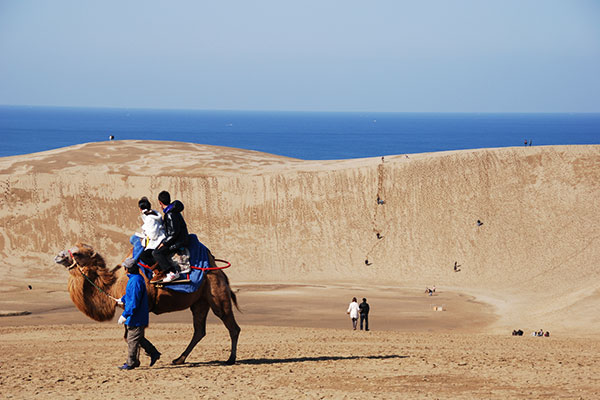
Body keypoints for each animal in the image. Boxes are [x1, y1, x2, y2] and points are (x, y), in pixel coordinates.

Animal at [54, 242, 240, 364]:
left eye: (77, 253)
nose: (58, 256)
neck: (113, 285)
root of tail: (220, 272)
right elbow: (131, 335)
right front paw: (144, 357)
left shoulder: (137, 306)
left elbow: (132, 334)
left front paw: (143, 358)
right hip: (199, 303)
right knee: (199, 331)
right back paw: (179, 359)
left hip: (216, 296)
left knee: (232, 327)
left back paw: (230, 359)